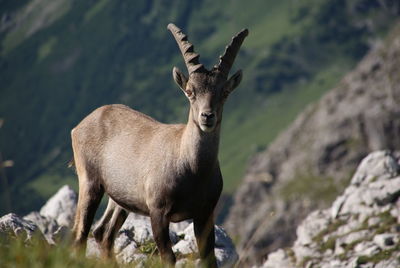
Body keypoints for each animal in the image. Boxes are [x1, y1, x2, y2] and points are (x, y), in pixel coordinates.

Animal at [70, 23, 248, 266]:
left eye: (225, 92)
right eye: (190, 91)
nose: (207, 116)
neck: (192, 169)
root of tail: (82, 124)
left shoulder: (205, 214)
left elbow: (208, 257)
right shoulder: (158, 212)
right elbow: (168, 257)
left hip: (121, 198)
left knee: (103, 234)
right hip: (89, 183)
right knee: (80, 234)